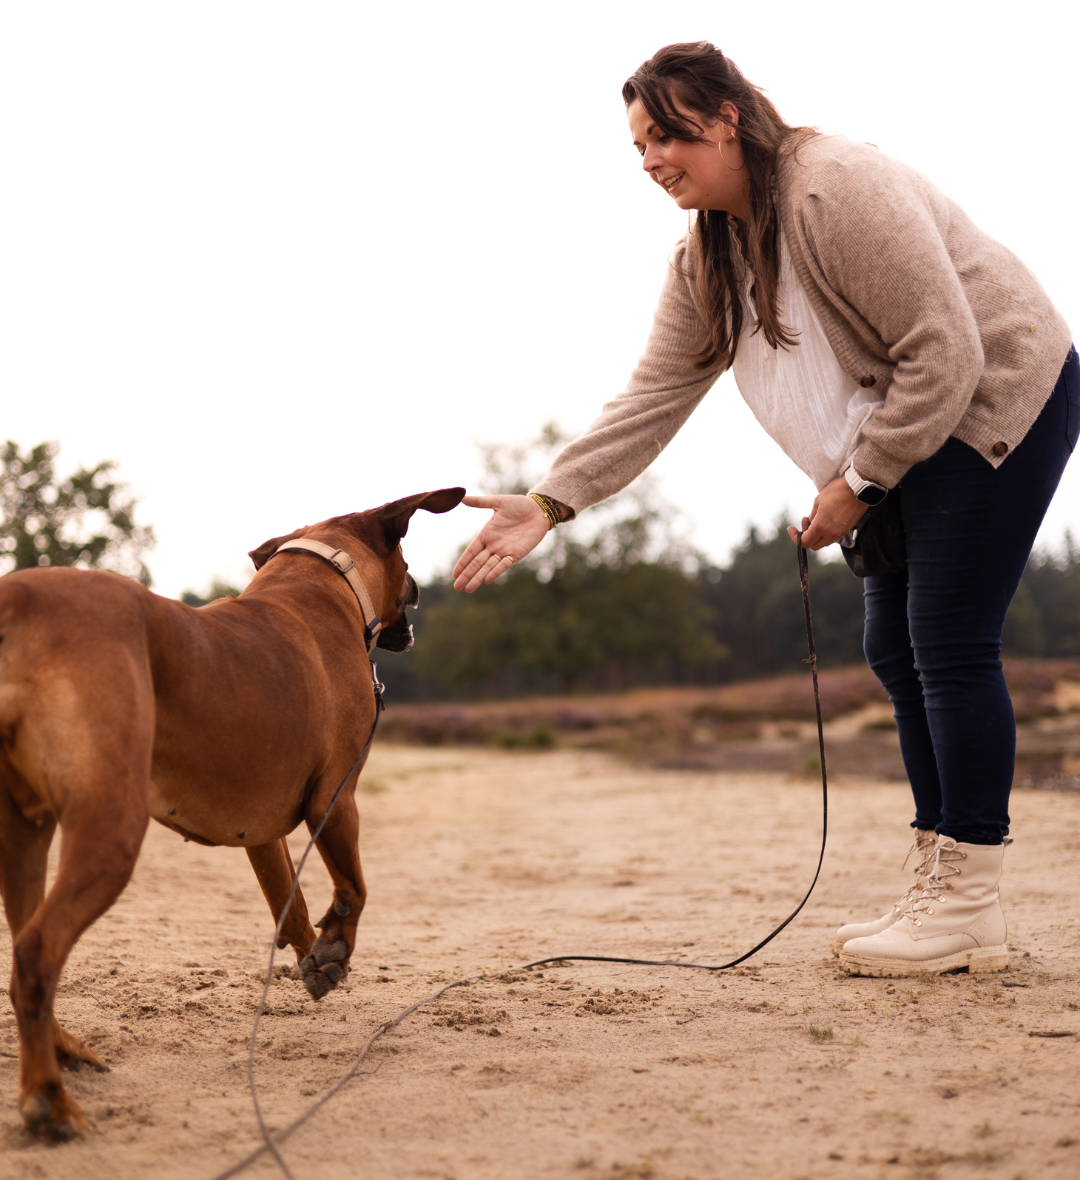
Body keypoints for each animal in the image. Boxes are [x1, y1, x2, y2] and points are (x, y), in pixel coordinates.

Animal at [0, 486, 460, 1132]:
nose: (418, 589)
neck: (317, 584)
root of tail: (16, 599)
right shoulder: (337, 797)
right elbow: (354, 885)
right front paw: (335, 947)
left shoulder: (261, 830)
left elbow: (289, 901)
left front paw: (313, 955)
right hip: (108, 832)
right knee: (36, 954)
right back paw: (48, 1098)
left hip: (25, 829)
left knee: (23, 946)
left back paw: (63, 1052)